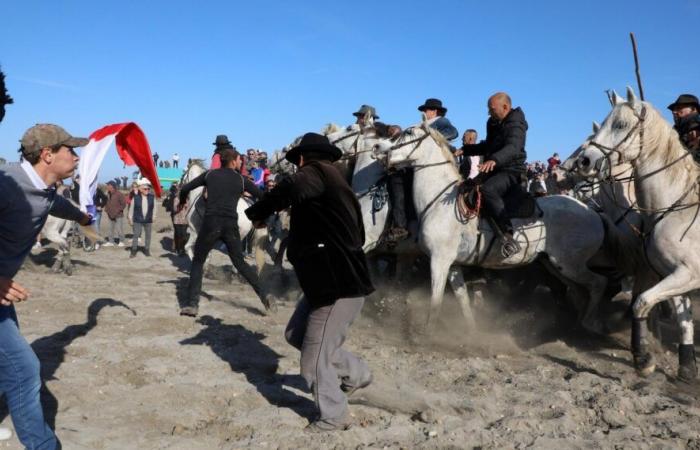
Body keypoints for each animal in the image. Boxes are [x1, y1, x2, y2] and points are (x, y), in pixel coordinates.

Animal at [372, 122, 612, 330]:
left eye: (408, 133)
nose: (377, 148)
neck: (438, 201)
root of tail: (593, 213)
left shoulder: (439, 261)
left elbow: (436, 300)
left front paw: (427, 333)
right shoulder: (452, 264)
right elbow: (462, 299)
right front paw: (471, 329)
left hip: (569, 264)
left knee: (599, 283)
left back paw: (589, 323)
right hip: (555, 264)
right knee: (581, 291)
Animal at [576, 87, 696, 380]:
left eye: (620, 124)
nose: (583, 161)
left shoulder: (686, 274)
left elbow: (640, 302)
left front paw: (642, 357)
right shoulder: (674, 273)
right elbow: (683, 318)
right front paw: (687, 365)